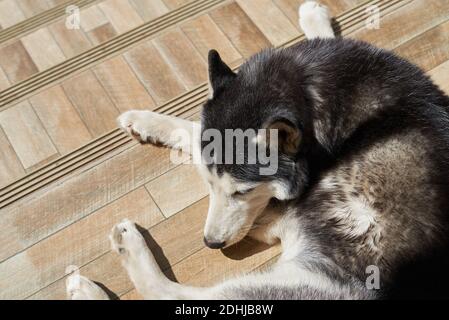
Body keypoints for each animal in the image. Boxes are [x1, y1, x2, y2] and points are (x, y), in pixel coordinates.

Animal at [65, 1, 448, 298]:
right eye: (207, 184)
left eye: (244, 191)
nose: (211, 244)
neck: (311, 93)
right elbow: (192, 128)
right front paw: (145, 121)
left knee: (167, 292)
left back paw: (115, 260)